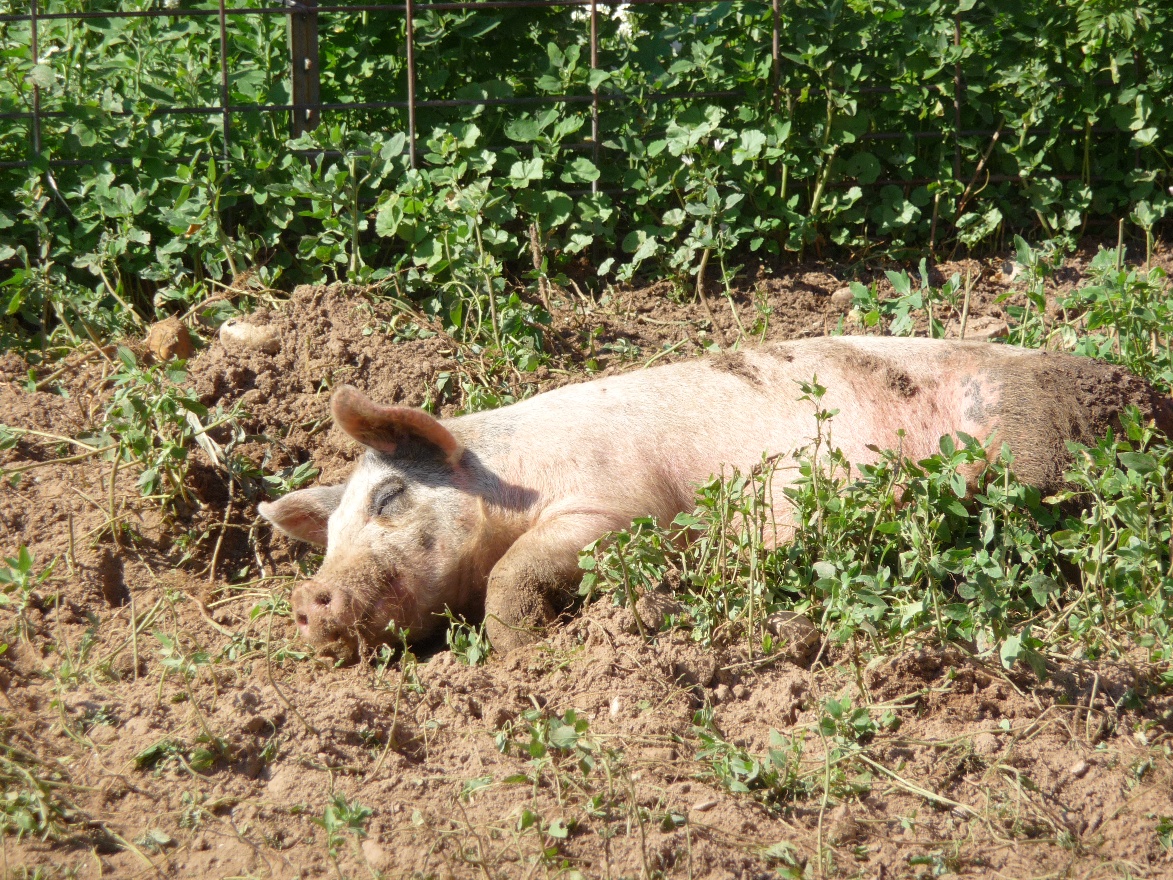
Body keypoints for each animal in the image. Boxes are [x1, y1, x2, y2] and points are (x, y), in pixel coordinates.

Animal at [258, 336, 1173, 657]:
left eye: (387, 497)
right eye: (329, 532)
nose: (307, 599)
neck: (511, 478)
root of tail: (1151, 398)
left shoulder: (615, 507)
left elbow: (521, 570)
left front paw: (518, 649)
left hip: (1036, 439)